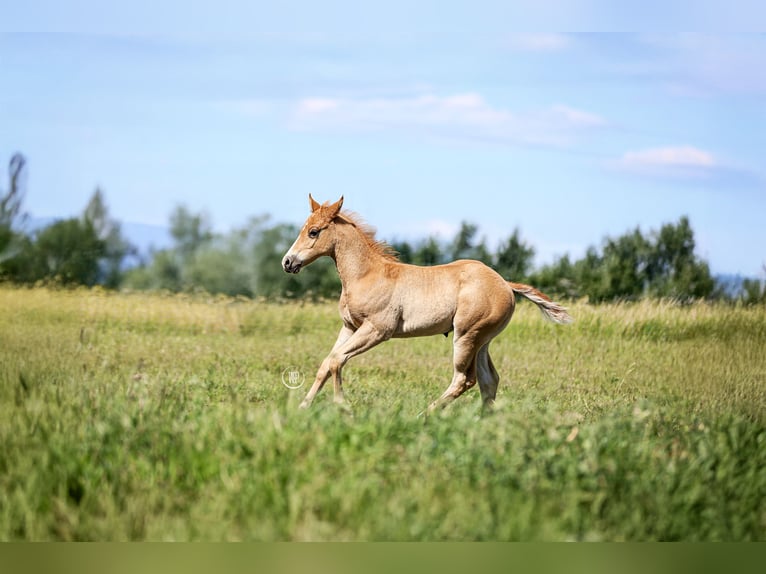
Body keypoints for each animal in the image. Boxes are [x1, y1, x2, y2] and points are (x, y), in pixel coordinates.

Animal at [282, 195, 572, 412]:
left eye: (313, 232)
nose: (287, 262)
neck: (367, 274)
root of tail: (506, 284)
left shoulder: (377, 330)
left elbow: (337, 361)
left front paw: (344, 408)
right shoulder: (350, 327)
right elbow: (326, 363)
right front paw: (302, 407)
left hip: (466, 336)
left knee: (464, 379)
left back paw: (426, 414)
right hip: (482, 340)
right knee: (489, 381)